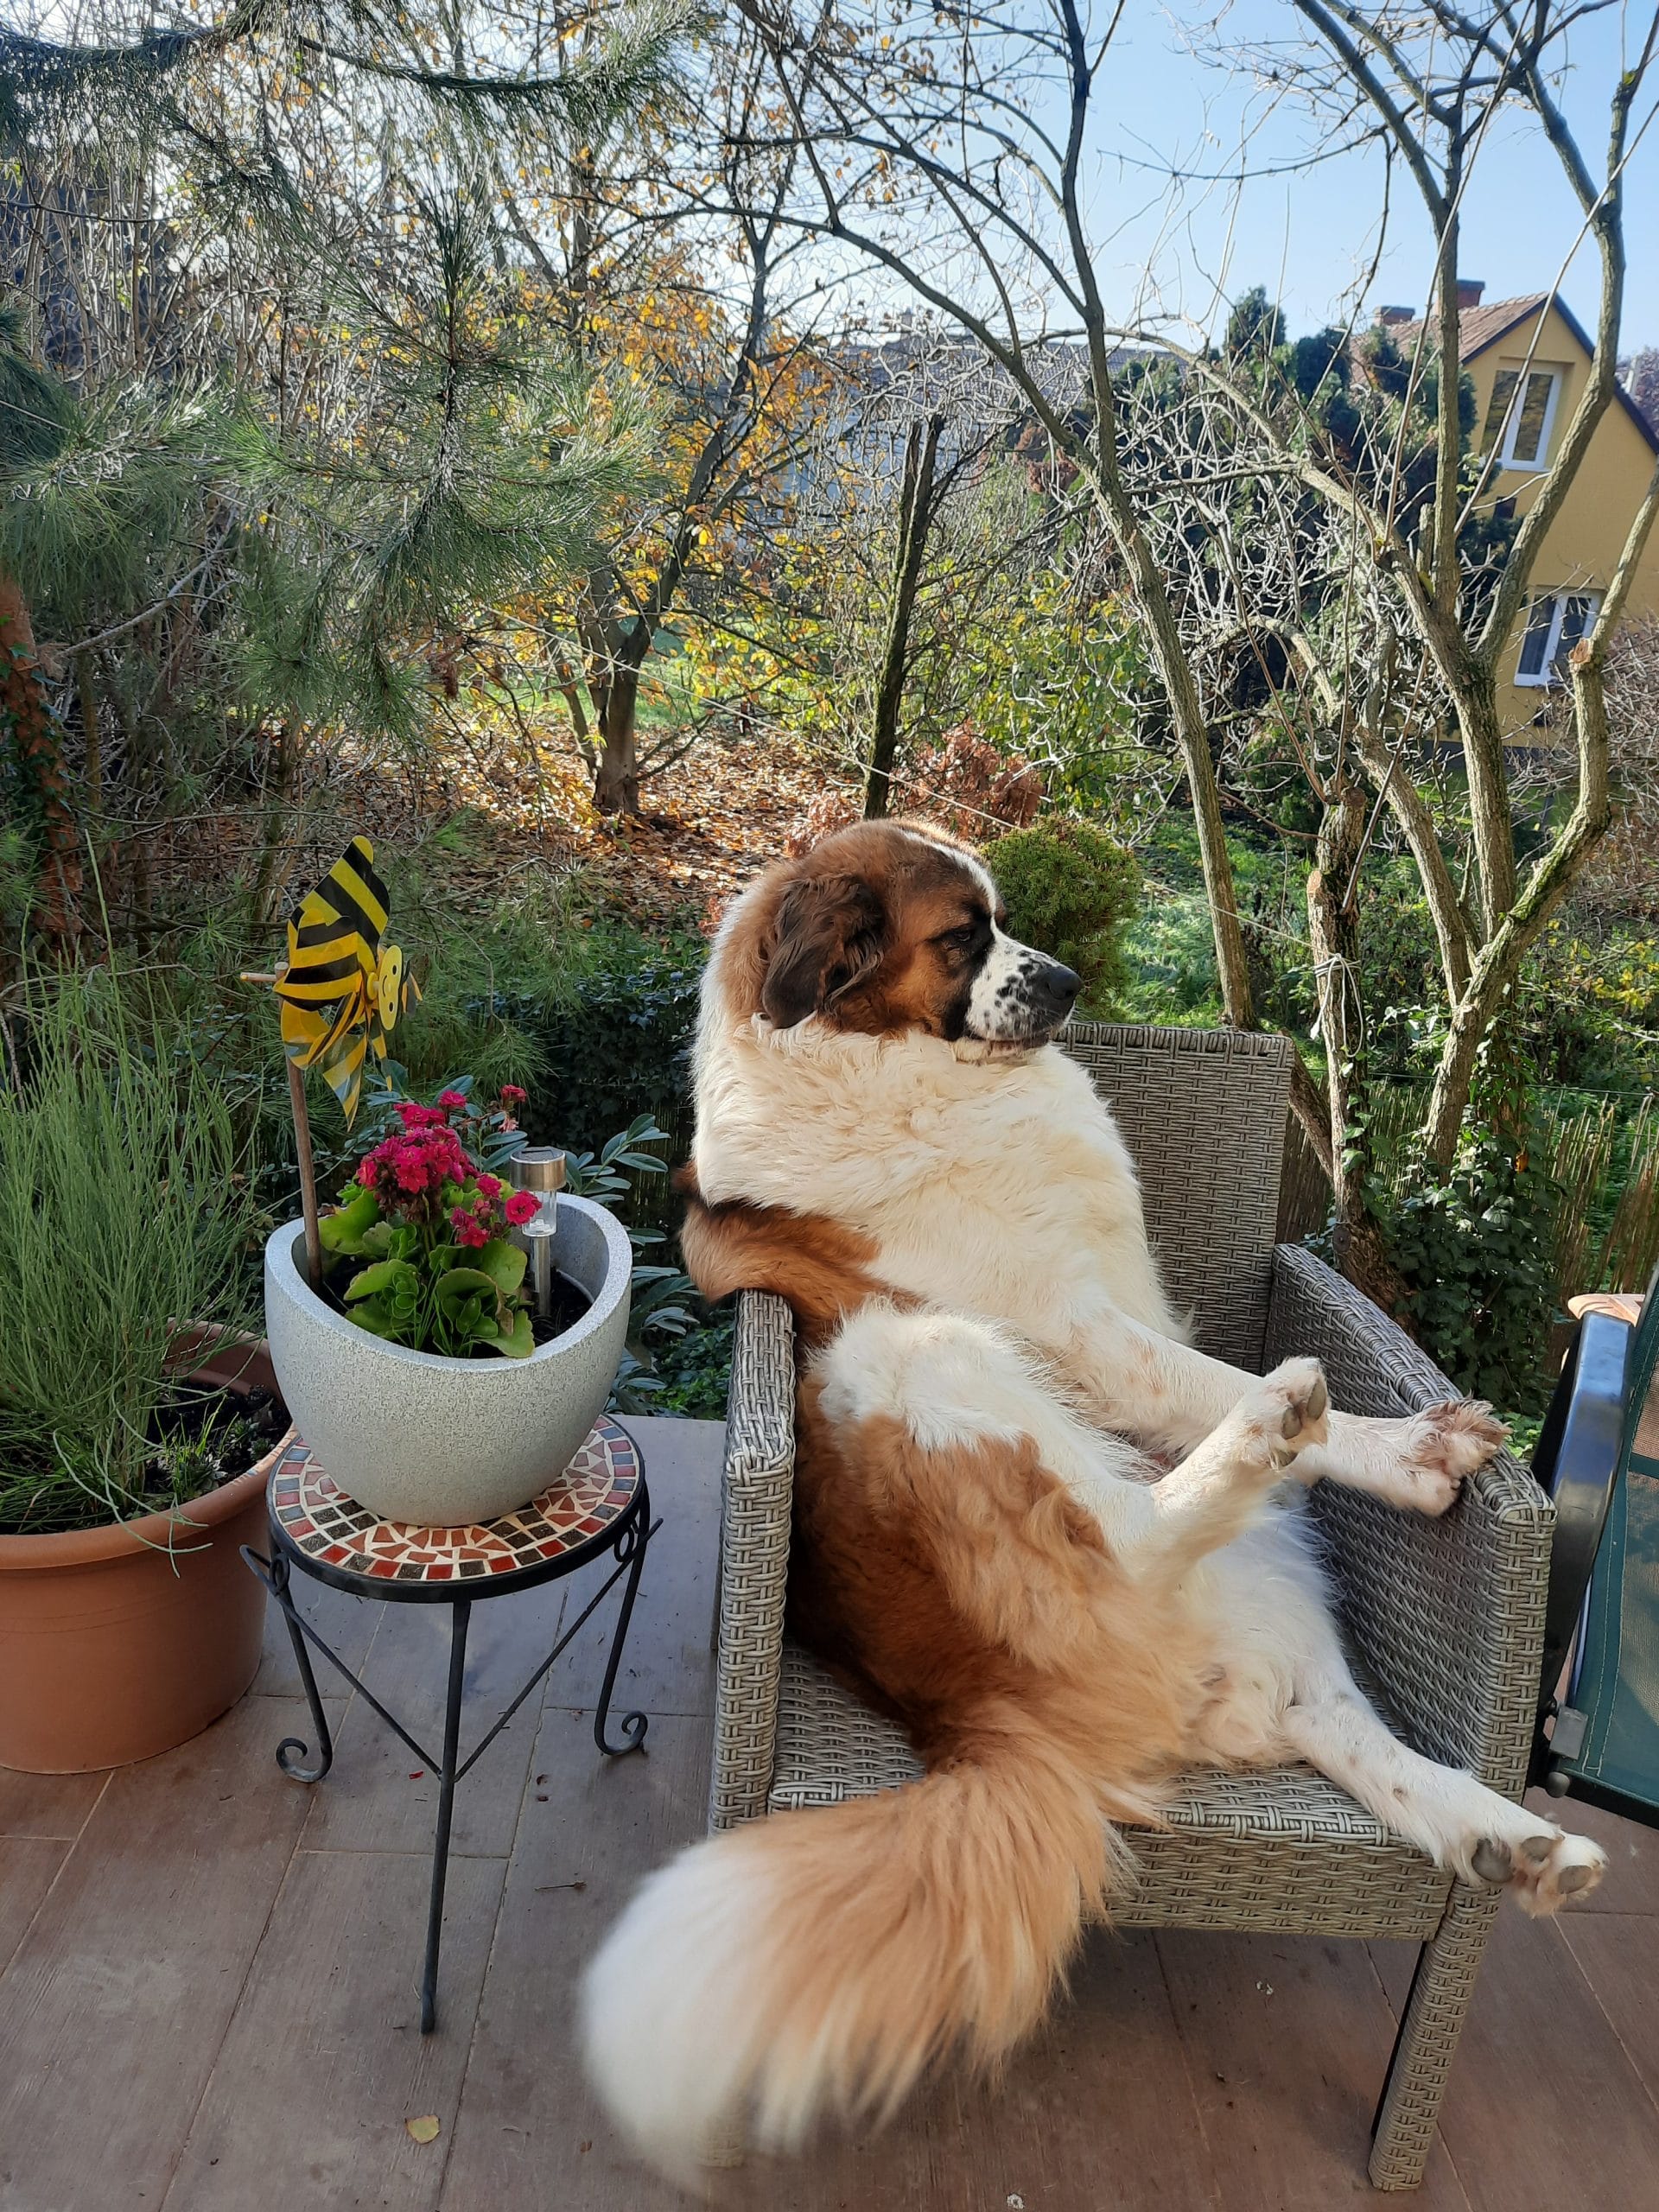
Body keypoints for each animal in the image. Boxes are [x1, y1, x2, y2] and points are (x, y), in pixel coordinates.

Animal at [581, 818, 1606, 2177]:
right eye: (962, 936)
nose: (1067, 983)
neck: (879, 1065)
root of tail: (969, 1713)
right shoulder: (1080, 1329)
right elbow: (1203, 1378)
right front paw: (1391, 1450)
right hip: (912, 1350)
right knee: (1143, 1526)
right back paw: (1273, 1426)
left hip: (1265, 1596)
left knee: (1335, 1723)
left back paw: (1509, 1838)